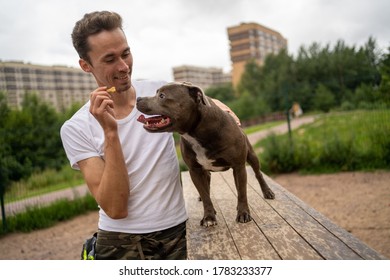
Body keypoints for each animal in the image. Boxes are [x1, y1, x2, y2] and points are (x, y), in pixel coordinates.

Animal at [136, 82, 274, 226]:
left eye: (162, 96)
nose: (138, 98)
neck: (196, 133)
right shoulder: (195, 170)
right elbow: (205, 194)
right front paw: (209, 216)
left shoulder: (239, 166)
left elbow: (242, 192)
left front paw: (243, 213)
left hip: (251, 156)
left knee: (257, 174)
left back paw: (267, 192)